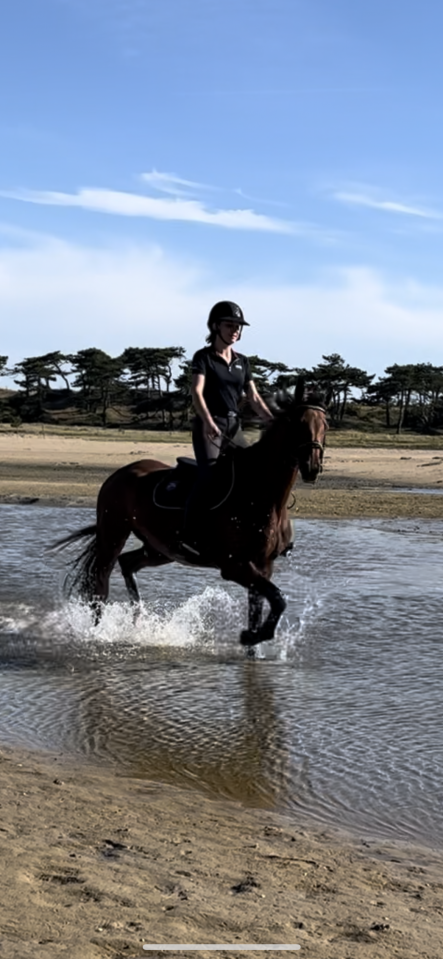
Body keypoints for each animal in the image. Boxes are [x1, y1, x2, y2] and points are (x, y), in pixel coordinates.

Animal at [53, 380, 328, 647]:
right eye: (298, 423)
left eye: (324, 425)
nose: (312, 468)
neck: (260, 496)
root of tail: (120, 473)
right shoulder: (234, 566)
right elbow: (278, 599)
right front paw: (252, 636)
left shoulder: (262, 566)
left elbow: (259, 608)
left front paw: (252, 640)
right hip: (114, 534)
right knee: (101, 581)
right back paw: (98, 632)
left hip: (161, 548)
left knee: (128, 563)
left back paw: (137, 619)